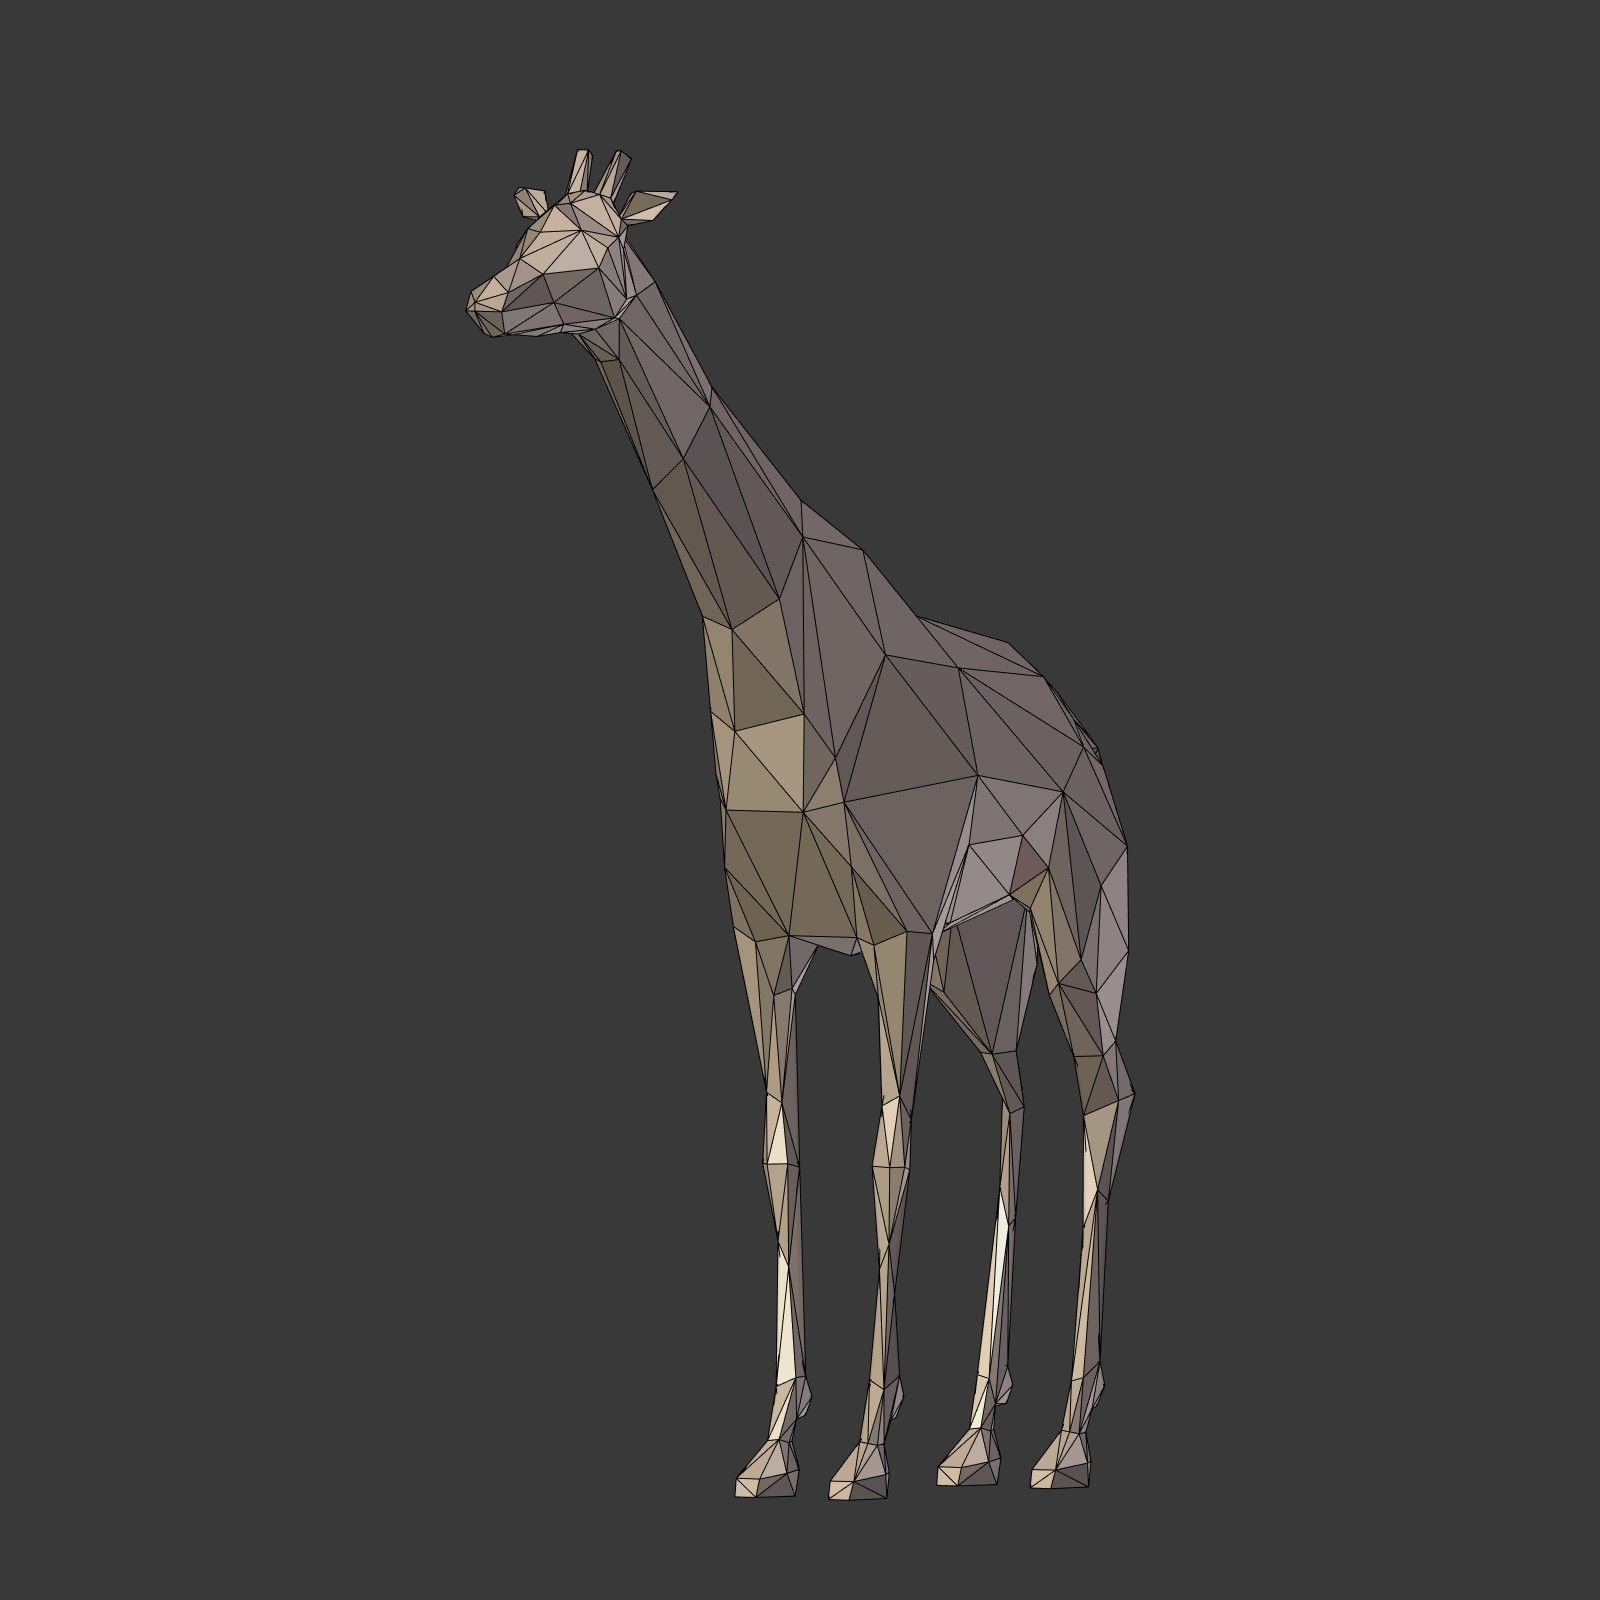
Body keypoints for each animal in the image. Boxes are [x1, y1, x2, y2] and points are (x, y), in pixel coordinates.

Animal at [467, 151, 1134, 1500]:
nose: (485, 304)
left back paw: (1065, 1438)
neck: (758, 633)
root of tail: (1084, 747)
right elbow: (779, 1152)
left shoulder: (891, 932)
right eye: (529, 236)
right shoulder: (764, 936)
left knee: (1104, 1098)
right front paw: (777, 1439)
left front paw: (865, 1449)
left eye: (599, 247)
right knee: (1018, 1107)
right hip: (986, 951)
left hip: (1072, 927)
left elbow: (885, 1155)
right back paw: (980, 1430)